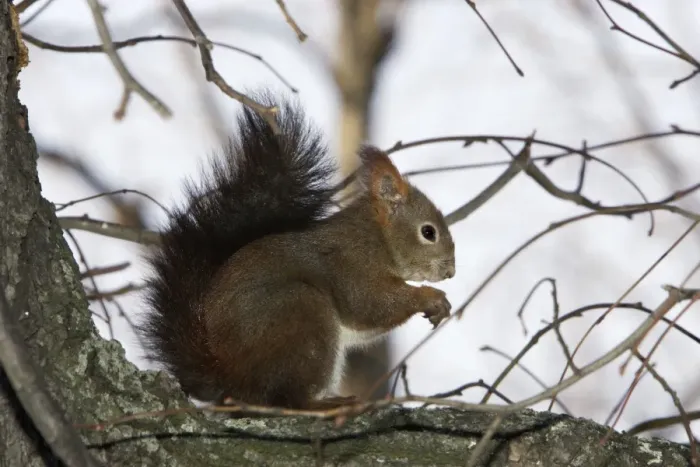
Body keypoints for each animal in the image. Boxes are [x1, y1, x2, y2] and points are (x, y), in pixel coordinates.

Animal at [140, 91, 456, 410]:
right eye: (428, 232)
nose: (451, 271)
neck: (378, 237)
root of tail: (228, 377)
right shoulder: (352, 263)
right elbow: (370, 304)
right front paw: (431, 297)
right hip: (302, 316)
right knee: (286, 398)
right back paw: (325, 404)